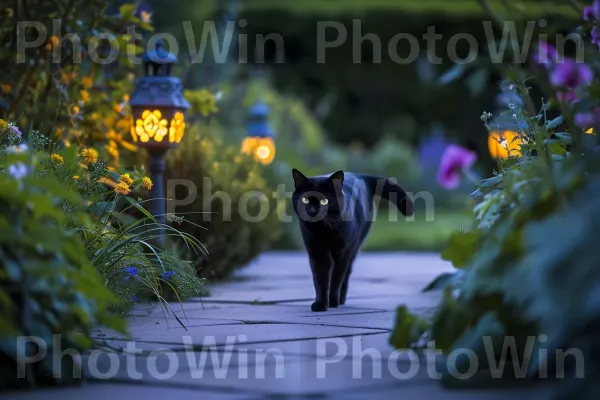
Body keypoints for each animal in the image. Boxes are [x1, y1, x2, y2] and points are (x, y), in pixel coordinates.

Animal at [290, 169, 412, 312]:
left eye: (324, 201)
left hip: (354, 247)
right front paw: (320, 304)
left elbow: (336, 278)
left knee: (346, 275)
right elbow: (320, 279)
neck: (324, 232)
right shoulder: (316, 252)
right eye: (304, 200)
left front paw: (332, 301)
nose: (313, 211)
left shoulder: (343, 253)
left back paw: (340, 300)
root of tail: (360, 174)